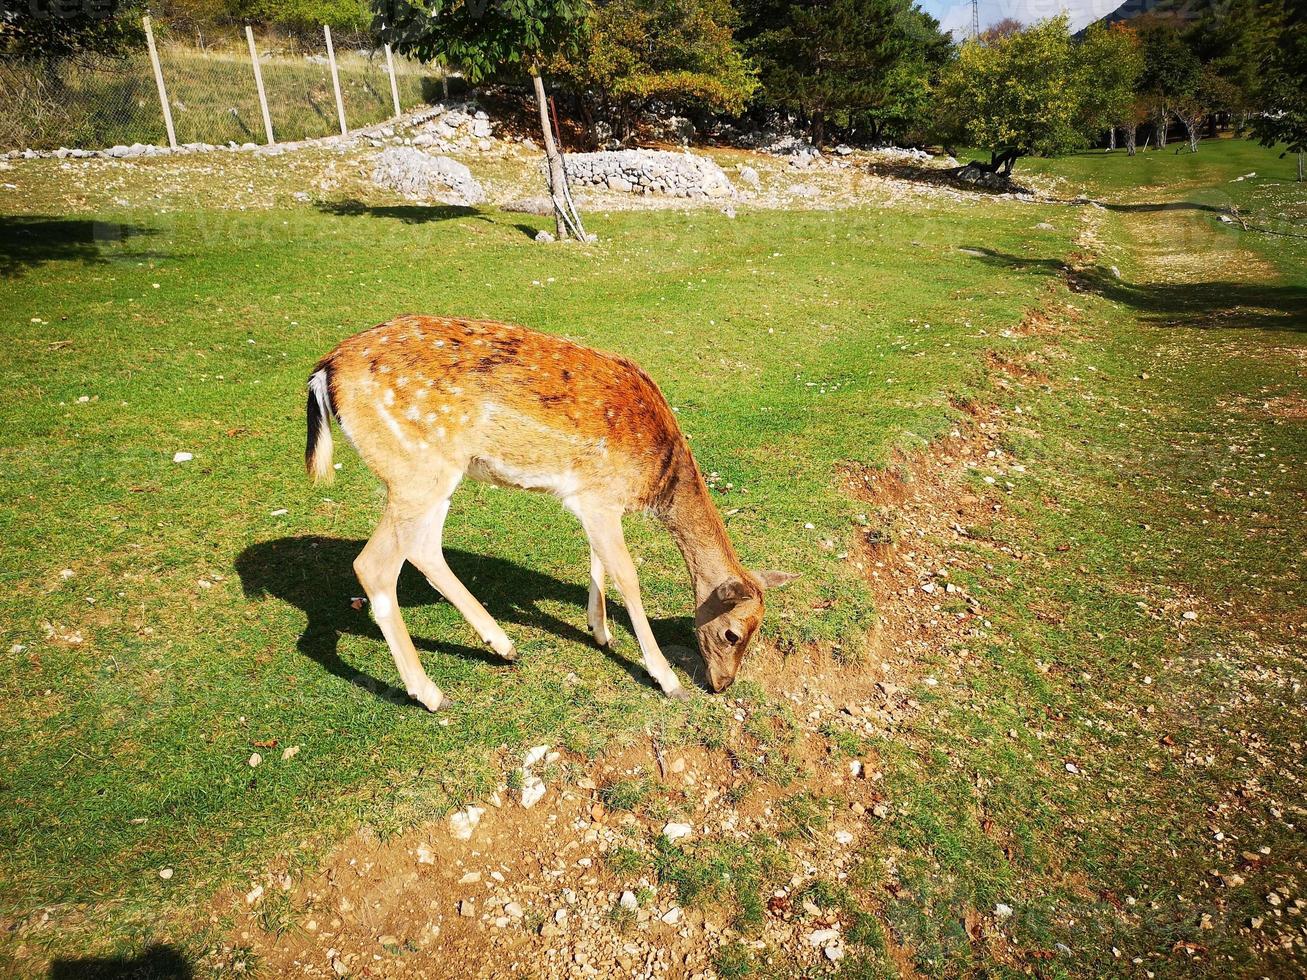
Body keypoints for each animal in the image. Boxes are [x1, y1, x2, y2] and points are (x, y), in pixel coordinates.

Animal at [308, 318, 794, 710]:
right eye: (733, 633)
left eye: (757, 631)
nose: (722, 684)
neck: (658, 475)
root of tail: (323, 372)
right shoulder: (602, 496)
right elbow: (627, 576)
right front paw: (667, 679)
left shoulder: (591, 499)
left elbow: (598, 561)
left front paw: (600, 631)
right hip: (415, 469)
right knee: (373, 564)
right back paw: (431, 694)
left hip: (437, 475)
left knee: (424, 549)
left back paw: (503, 646)